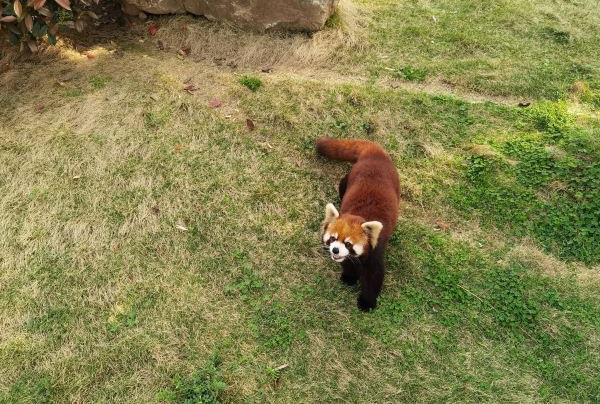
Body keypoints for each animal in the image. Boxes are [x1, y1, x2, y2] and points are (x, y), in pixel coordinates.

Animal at [316, 137, 400, 310]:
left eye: (348, 244)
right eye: (333, 238)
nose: (334, 250)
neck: (360, 215)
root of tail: (375, 153)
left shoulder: (376, 250)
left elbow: (373, 276)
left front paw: (367, 302)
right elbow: (348, 263)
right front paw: (349, 277)